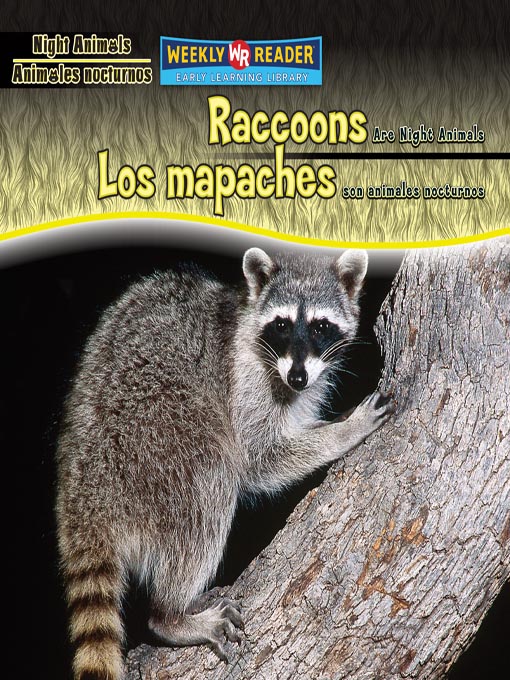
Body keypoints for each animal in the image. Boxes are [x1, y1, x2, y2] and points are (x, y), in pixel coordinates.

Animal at [56, 247, 394, 679]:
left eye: (321, 326)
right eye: (282, 325)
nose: (298, 377)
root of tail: (83, 495)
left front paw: (330, 423)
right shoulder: (245, 376)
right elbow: (256, 460)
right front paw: (343, 432)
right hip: (150, 441)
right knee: (211, 480)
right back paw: (171, 615)